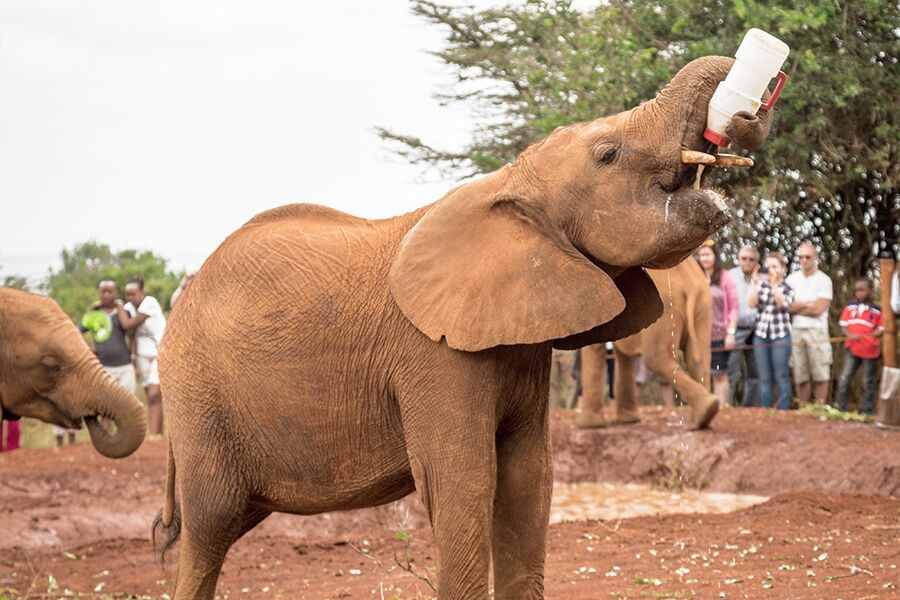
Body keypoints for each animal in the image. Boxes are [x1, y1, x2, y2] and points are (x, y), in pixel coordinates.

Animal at [577, 257, 715, 430]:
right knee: (698, 359)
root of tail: (691, 286)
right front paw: (628, 421)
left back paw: (703, 413)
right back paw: (703, 419)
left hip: (667, 310)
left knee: (655, 359)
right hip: (703, 306)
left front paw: (589, 426)